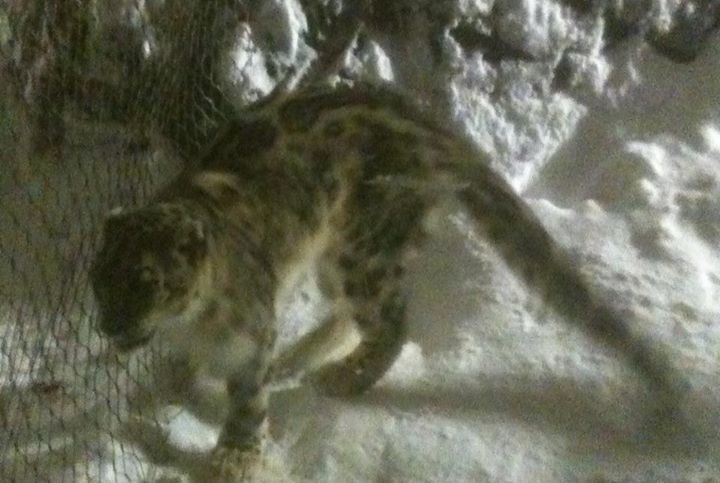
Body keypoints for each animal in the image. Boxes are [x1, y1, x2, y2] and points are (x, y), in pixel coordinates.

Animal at [91, 81, 684, 480]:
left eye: (147, 279)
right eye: (99, 278)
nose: (109, 325)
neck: (190, 323)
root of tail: (433, 126)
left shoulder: (250, 338)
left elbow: (248, 402)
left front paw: (232, 458)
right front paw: (181, 381)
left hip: (363, 250)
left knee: (393, 323)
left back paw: (342, 377)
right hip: (337, 258)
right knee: (350, 317)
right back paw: (300, 358)